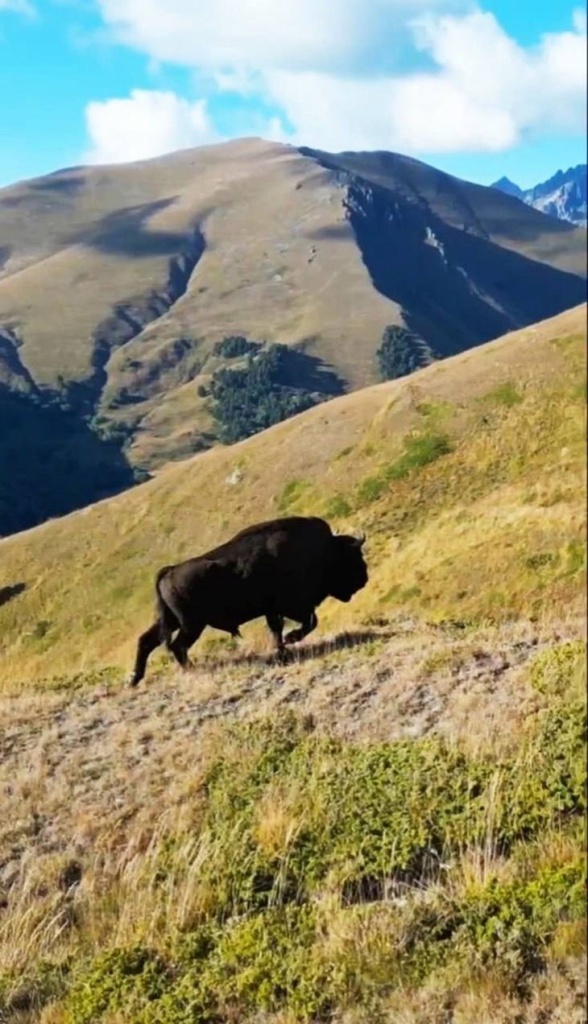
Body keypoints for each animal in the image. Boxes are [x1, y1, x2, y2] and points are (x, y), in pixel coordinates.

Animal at [131, 512, 368, 688]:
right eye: (354, 555)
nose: (364, 578)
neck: (323, 550)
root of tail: (170, 571)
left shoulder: (273, 611)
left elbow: (279, 629)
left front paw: (283, 650)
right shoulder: (290, 607)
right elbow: (308, 622)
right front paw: (290, 639)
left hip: (172, 622)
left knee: (147, 641)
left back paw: (134, 679)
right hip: (191, 624)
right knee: (176, 646)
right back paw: (191, 669)